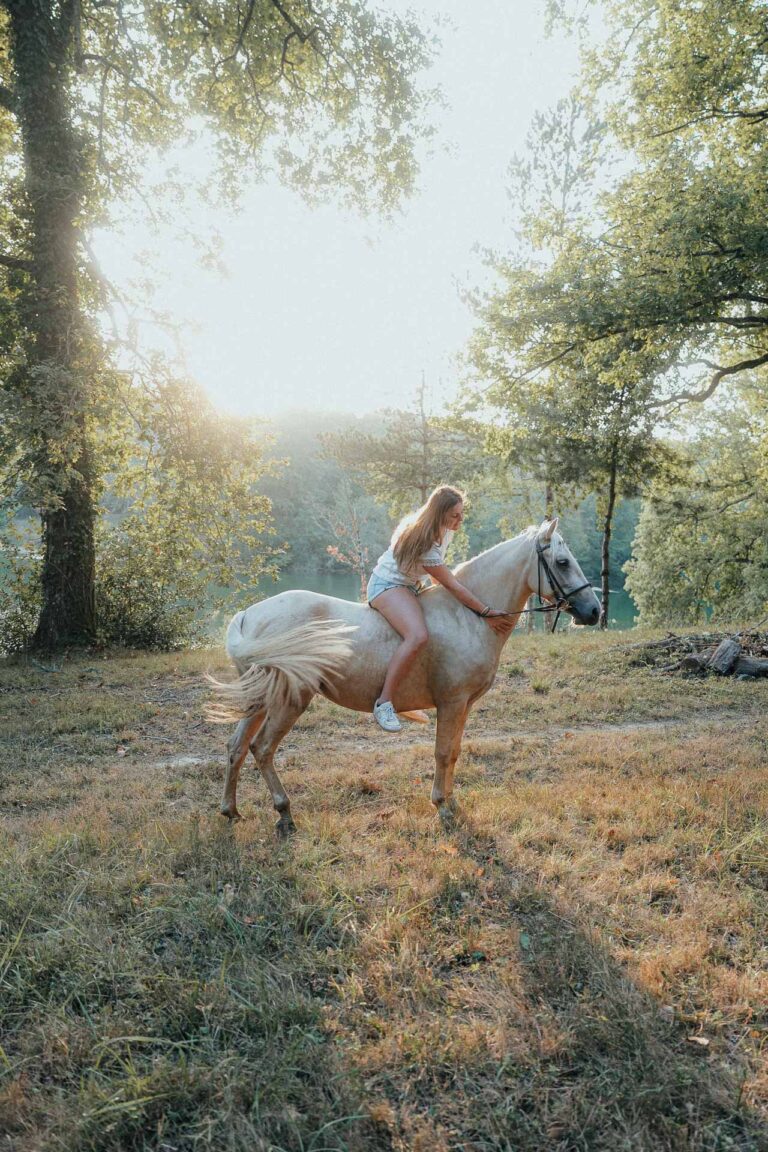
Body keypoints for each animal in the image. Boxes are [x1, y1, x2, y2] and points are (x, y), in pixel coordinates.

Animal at [207, 518, 600, 835]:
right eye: (562, 562)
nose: (594, 611)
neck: (466, 615)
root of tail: (249, 616)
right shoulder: (451, 702)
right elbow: (443, 752)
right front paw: (442, 808)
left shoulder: (463, 706)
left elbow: (454, 752)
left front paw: (452, 803)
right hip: (290, 701)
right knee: (262, 749)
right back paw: (284, 813)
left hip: (260, 701)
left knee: (236, 747)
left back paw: (230, 811)